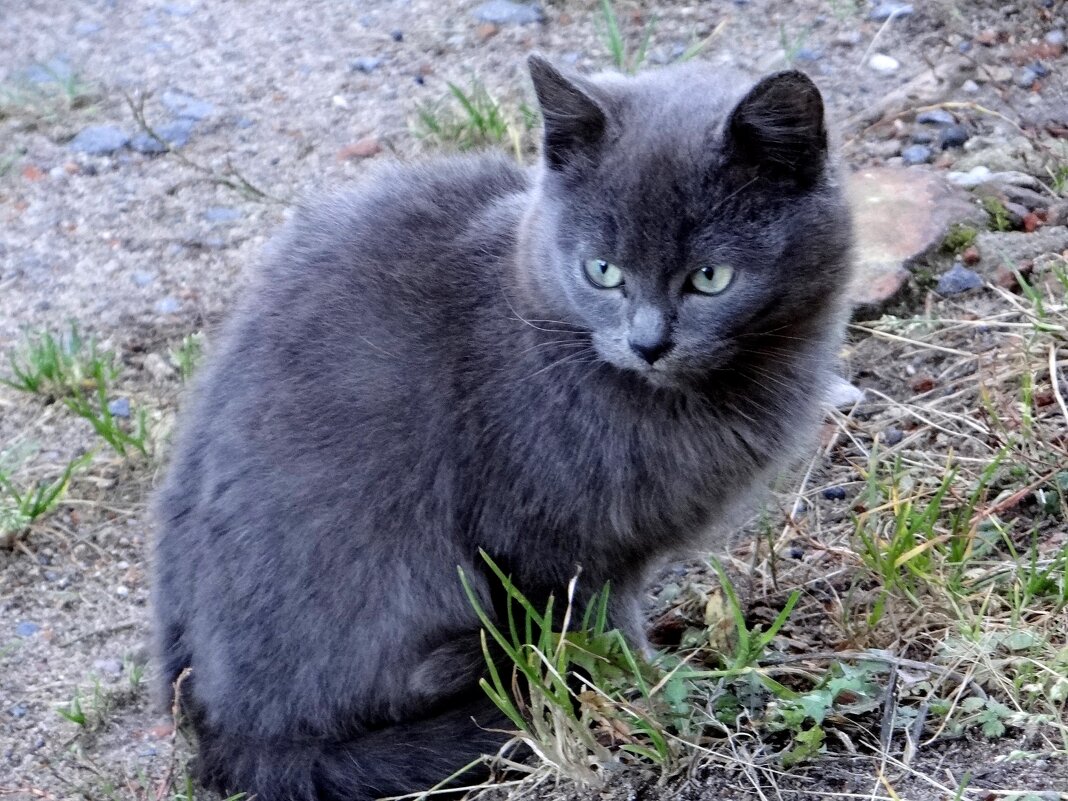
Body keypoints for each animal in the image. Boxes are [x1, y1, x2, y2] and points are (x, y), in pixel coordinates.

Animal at [152, 56, 850, 801]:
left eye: (710, 278)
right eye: (602, 271)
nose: (648, 343)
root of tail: (217, 733)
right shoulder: (550, 544)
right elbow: (600, 628)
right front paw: (652, 693)